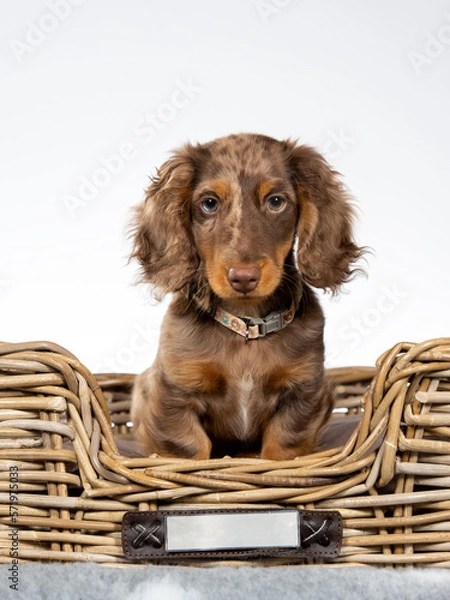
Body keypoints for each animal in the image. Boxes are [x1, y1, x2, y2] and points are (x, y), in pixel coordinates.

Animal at [128, 132, 364, 460]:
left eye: (276, 202)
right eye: (209, 203)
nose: (243, 277)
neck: (247, 325)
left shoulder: (304, 391)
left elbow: (282, 447)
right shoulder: (173, 393)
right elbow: (190, 448)